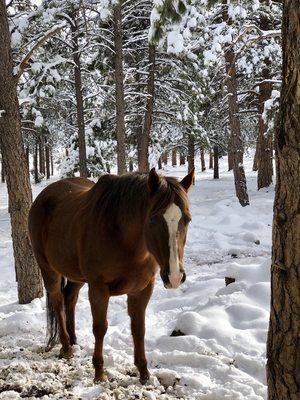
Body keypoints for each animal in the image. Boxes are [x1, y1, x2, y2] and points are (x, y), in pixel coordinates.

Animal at [28, 167, 195, 382]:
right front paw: (99, 372)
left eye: (187, 219)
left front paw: (144, 372)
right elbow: (100, 328)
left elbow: (138, 328)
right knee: (57, 301)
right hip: (48, 268)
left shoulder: (142, 289)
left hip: (76, 275)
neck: (123, 239)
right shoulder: (99, 288)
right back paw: (66, 348)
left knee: (69, 298)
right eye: (153, 219)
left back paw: (74, 341)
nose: (175, 277)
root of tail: (43, 196)